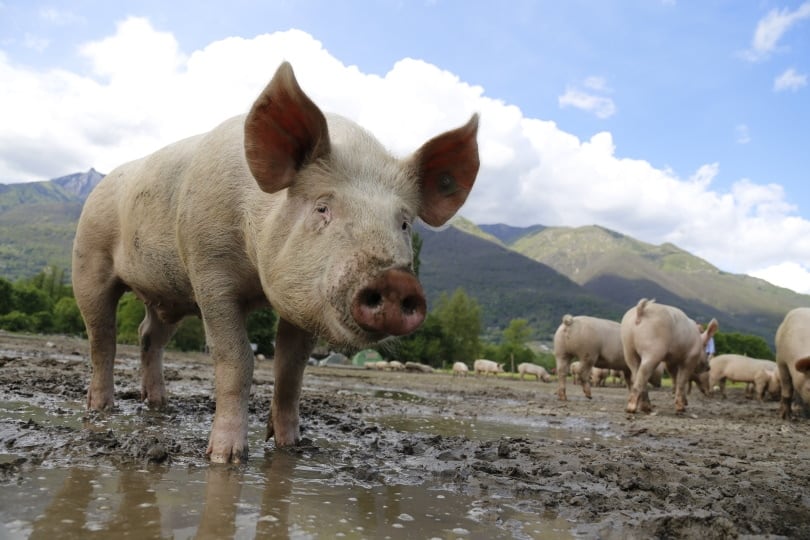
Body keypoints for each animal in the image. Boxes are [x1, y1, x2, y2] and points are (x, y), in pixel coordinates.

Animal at [72, 62, 480, 463]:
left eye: (404, 223)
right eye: (322, 207)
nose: (396, 281)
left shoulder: (304, 300)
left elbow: (291, 370)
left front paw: (291, 446)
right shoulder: (209, 271)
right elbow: (237, 359)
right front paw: (226, 457)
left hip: (166, 295)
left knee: (147, 335)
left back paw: (158, 404)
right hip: (89, 259)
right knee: (102, 337)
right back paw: (101, 409)